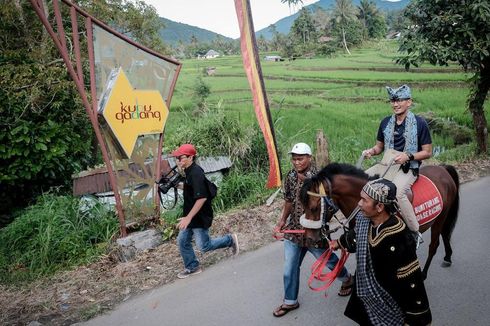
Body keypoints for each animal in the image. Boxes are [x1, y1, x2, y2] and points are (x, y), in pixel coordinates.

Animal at [298, 163, 460, 278]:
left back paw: (424, 273)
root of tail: (443, 169)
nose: (310, 238)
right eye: (303, 206)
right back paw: (448, 257)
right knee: (445, 234)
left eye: (313, 207)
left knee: (434, 245)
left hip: (440, 217)